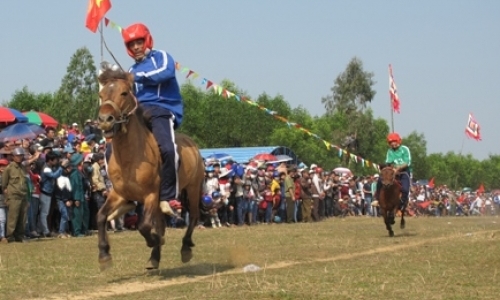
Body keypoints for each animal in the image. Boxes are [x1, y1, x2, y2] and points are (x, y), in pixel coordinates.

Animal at [95, 67, 205, 270]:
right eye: (101, 94)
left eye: (124, 92)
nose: (105, 119)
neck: (130, 157)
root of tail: (192, 144)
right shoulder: (118, 193)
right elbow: (101, 216)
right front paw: (104, 254)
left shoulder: (151, 195)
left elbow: (144, 226)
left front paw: (154, 240)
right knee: (162, 223)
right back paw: (155, 256)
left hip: (193, 188)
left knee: (193, 216)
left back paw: (185, 248)